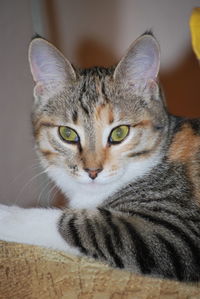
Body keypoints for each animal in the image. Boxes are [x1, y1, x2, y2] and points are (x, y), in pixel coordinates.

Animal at [0, 32, 200, 284]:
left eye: (119, 133)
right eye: (67, 134)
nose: (92, 171)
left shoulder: (176, 231)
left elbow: (82, 225)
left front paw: (5, 216)